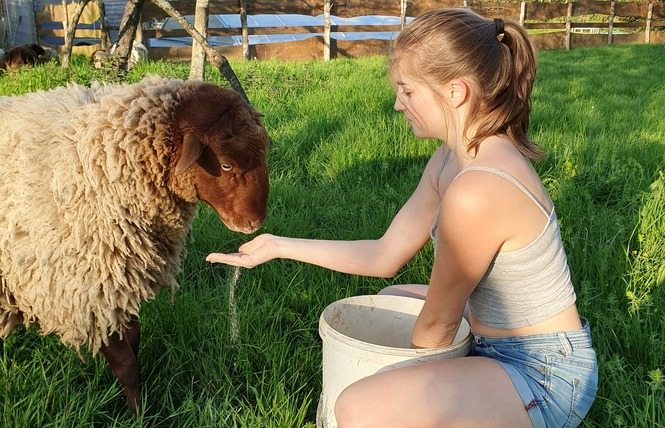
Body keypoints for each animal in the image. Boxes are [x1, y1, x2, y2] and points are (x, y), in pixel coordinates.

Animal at [0, 74, 270, 414]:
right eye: (226, 165)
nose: (255, 223)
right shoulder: (90, 292)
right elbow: (125, 363)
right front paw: (139, 413)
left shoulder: (120, 278)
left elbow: (135, 338)